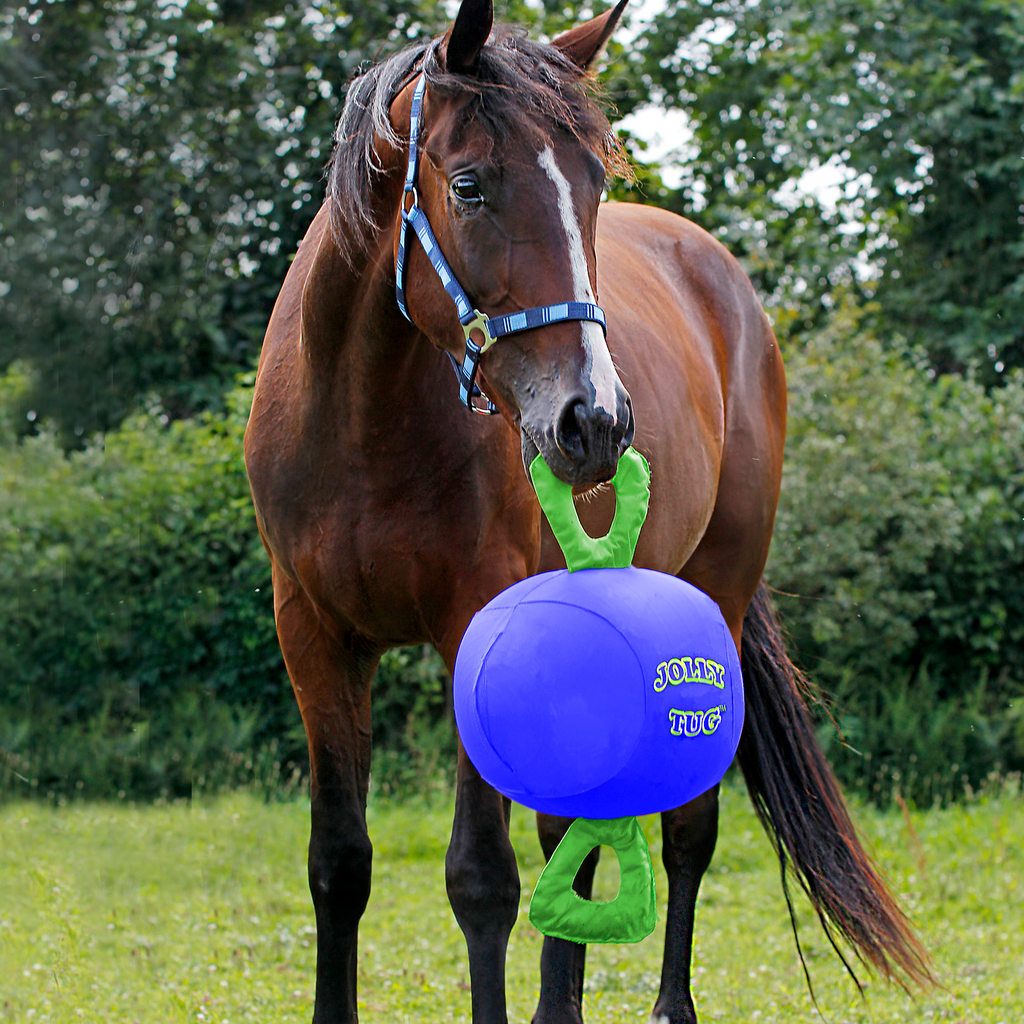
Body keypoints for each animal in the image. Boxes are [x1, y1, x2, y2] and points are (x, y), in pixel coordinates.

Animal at [243, 1, 931, 1021]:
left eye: (595, 186)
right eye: (469, 186)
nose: (595, 422)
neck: (364, 420)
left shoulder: (470, 626)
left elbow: (481, 878)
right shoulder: (314, 637)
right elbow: (340, 863)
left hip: (716, 597)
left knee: (685, 826)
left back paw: (668, 1004)